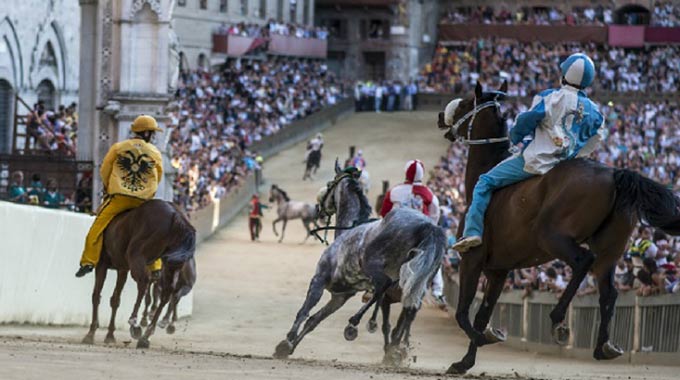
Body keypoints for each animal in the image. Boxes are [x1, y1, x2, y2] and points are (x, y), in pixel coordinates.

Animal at [81, 200, 197, 348]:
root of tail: (175, 215)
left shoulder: (102, 264)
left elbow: (96, 296)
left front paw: (90, 334)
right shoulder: (122, 268)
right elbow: (115, 300)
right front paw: (110, 335)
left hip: (136, 256)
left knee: (144, 283)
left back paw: (135, 323)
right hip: (172, 265)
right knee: (167, 293)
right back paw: (147, 334)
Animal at [270, 162, 446, 366]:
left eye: (330, 184)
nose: (317, 209)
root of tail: (429, 226)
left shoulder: (319, 279)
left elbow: (304, 311)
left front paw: (287, 340)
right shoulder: (341, 296)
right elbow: (314, 320)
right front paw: (288, 347)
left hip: (376, 267)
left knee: (384, 286)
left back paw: (357, 323)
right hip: (417, 282)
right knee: (410, 308)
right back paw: (396, 348)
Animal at [436, 82, 680, 374]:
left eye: (464, 104)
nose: (440, 116)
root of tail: (615, 174)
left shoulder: (471, 259)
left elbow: (463, 313)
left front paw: (483, 339)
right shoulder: (499, 270)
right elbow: (482, 315)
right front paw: (465, 361)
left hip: (552, 236)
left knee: (583, 261)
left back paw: (558, 319)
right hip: (610, 247)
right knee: (608, 292)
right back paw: (604, 347)